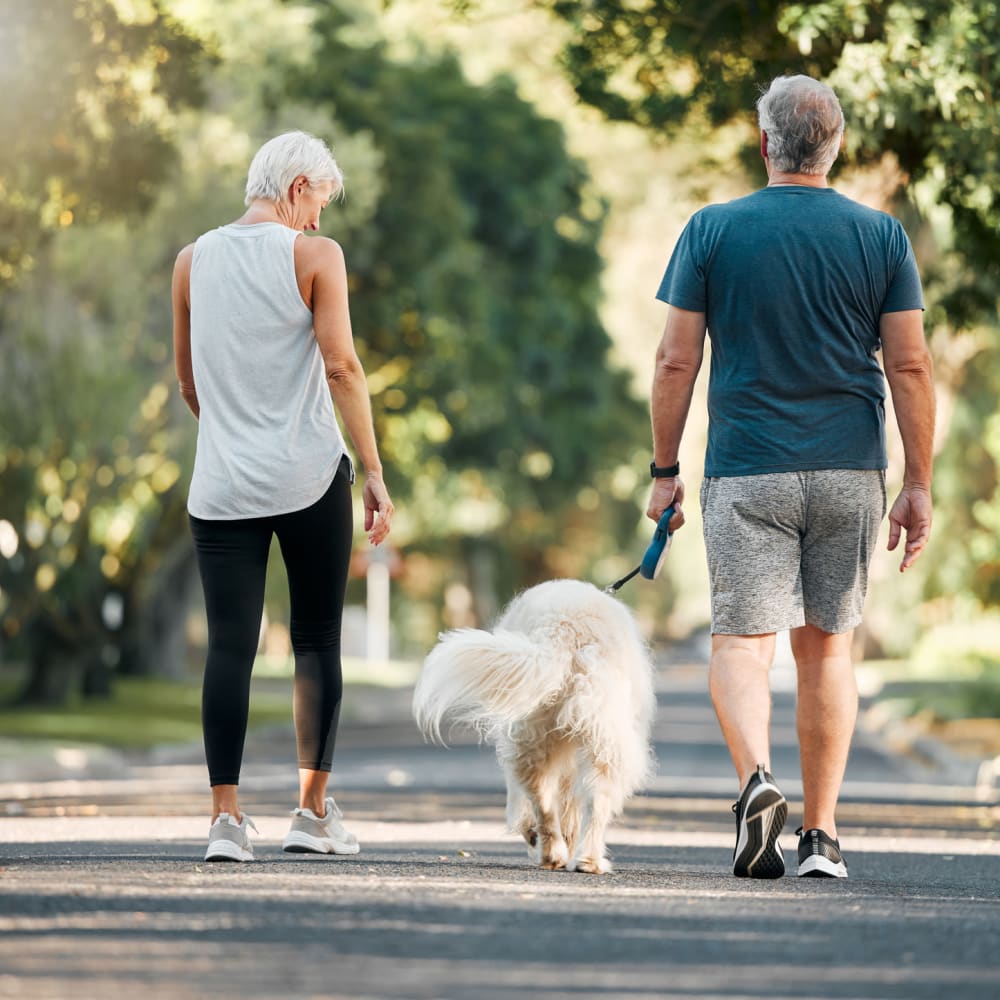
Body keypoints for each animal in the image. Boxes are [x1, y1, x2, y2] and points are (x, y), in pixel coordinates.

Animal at [414, 580, 656, 876]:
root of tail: (564, 630)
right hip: (583, 738)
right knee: (575, 801)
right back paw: (573, 856)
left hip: (549, 737)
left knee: (551, 801)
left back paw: (564, 855)